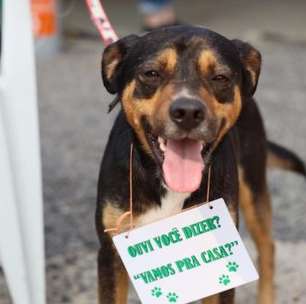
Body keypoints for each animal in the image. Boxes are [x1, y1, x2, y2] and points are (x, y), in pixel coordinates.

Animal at [95, 26, 304, 304]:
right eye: (151, 73)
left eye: (220, 77)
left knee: (268, 247)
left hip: (253, 186)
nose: (188, 112)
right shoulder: (111, 253)